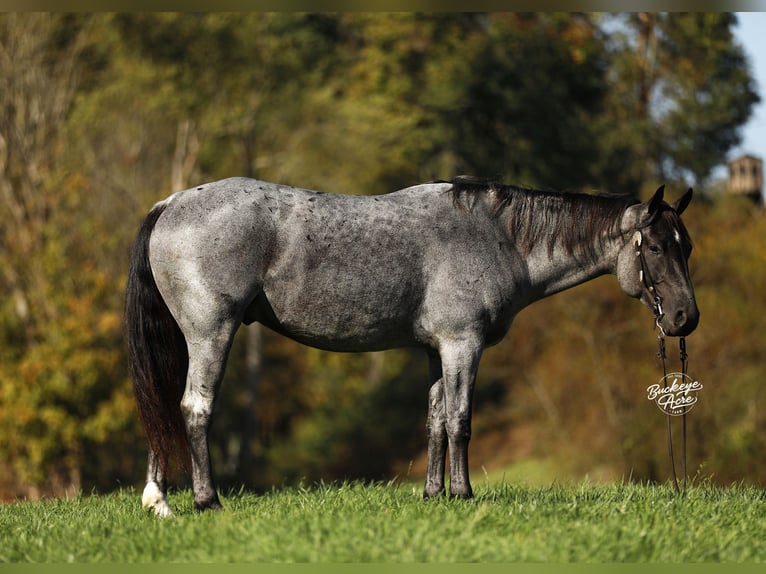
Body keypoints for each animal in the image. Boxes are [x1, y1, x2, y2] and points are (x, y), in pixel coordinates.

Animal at [125, 176, 699, 516]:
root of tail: (171, 202)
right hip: (210, 334)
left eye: (686, 245)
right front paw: (463, 494)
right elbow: (461, 421)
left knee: (164, 408)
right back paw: (206, 500)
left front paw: (433, 494)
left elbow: (435, 422)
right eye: (654, 247)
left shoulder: (434, 351)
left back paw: (159, 500)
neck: (498, 238)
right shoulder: (462, 344)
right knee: (194, 410)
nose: (685, 318)